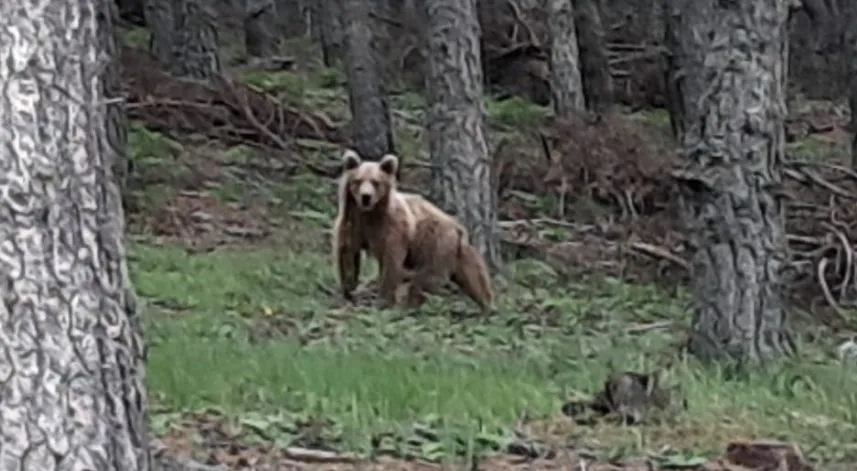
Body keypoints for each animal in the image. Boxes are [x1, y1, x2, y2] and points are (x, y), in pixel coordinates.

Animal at [334, 151, 494, 314]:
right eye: (358, 180)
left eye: (375, 182)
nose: (366, 197)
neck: (369, 213)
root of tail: (457, 226)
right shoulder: (353, 223)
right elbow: (347, 256)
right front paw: (348, 295)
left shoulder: (392, 228)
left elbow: (391, 262)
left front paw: (383, 301)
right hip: (456, 253)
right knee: (474, 278)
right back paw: (486, 306)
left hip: (435, 243)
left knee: (429, 277)